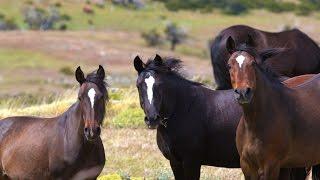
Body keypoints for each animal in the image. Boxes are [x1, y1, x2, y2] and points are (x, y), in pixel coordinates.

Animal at [134, 54, 314, 179]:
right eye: (139, 85)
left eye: (160, 85)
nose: (152, 119)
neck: (184, 109)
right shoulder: (175, 162)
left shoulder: (191, 162)